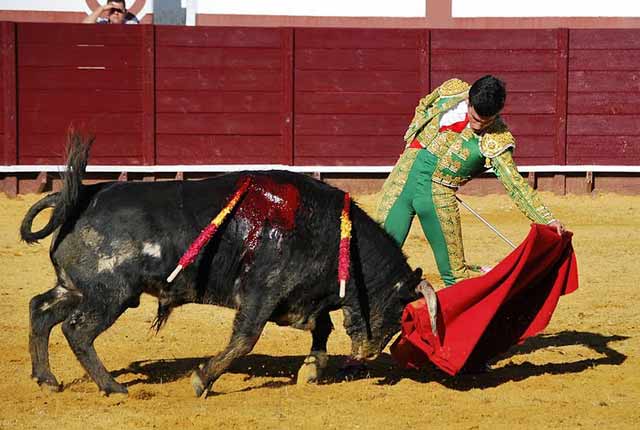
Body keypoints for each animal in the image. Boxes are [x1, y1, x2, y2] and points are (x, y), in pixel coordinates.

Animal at [21, 136, 424, 398]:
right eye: (398, 311)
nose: (367, 355)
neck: (335, 235)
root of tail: (82, 197)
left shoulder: (301, 298)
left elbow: (321, 329)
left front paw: (310, 371)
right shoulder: (262, 292)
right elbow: (245, 339)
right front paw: (202, 379)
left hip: (75, 288)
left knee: (40, 310)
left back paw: (47, 379)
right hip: (110, 295)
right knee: (77, 331)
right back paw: (112, 387)